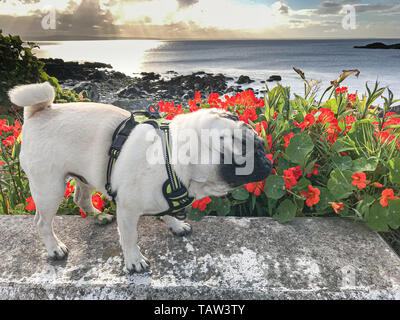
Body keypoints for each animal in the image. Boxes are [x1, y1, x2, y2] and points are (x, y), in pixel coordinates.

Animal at [8, 82, 272, 272]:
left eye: (261, 146)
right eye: (253, 154)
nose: (268, 160)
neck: (171, 157)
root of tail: (39, 112)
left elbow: (167, 213)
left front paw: (176, 225)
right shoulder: (127, 209)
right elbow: (129, 237)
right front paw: (134, 261)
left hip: (84, 176)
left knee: (80, 199)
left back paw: (99, 216)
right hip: (49, 188)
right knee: (43, 222)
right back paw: (55, 248)